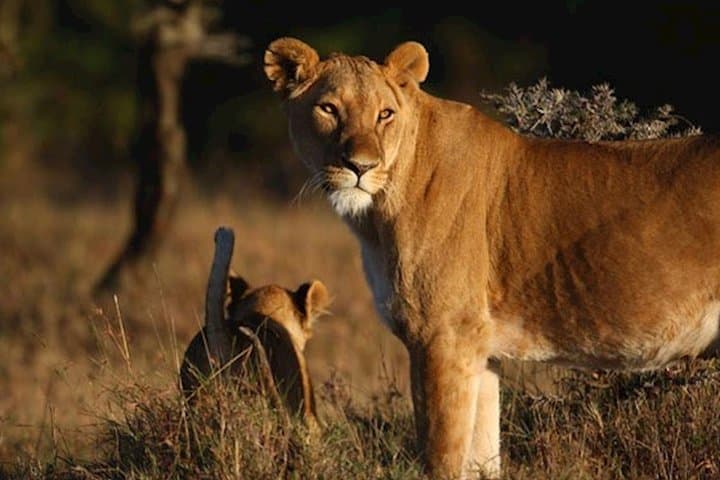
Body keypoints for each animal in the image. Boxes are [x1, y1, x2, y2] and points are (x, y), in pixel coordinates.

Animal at [263, 37, 720, 478]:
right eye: (328, 108)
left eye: (385, 114)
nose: (360, 166)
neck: (375, 215)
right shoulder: (479, 352)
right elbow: (481, 459)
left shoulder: (442, 337)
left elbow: (441, 459)